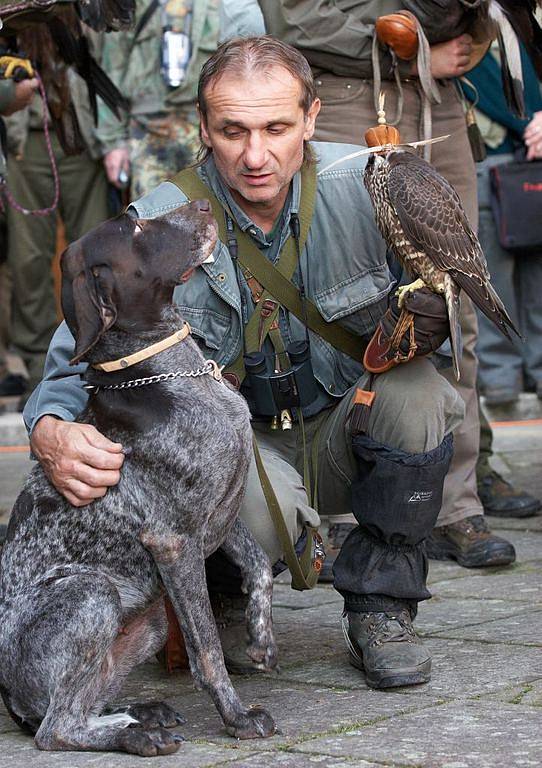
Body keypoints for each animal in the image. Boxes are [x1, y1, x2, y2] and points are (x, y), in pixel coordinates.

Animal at [0, 201, 278, 760]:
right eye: (134, 227)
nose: (202, 204)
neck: (165, 372)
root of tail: (9, 698)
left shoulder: (217, 516)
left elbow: (259, 567)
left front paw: (260, 636)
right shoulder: (173, 542)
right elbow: (206, 651)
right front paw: (236, 718)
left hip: (147, 621)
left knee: (78, 707)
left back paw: (137, 715)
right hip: (93, 595)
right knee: (55, 728)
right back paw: (136, 736)